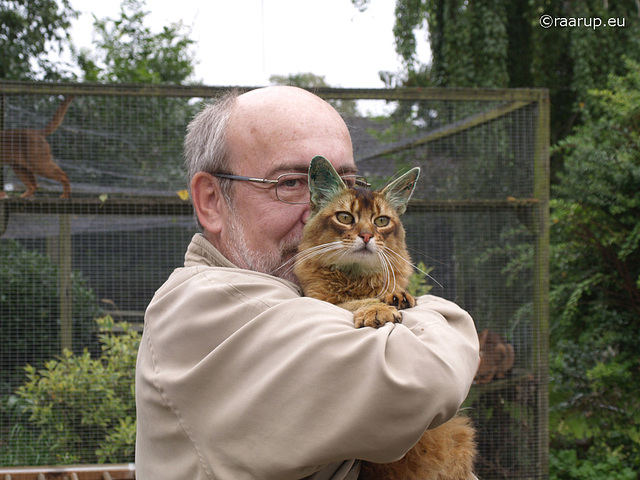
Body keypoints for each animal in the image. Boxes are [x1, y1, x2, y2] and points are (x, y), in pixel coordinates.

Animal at [294, 156, 476, 478]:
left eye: (381, 221)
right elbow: (351, 303)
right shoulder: (319, 299)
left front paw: (397, 296)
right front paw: (377, 309)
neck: (357, 277)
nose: (366, 236)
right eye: (345, 217)